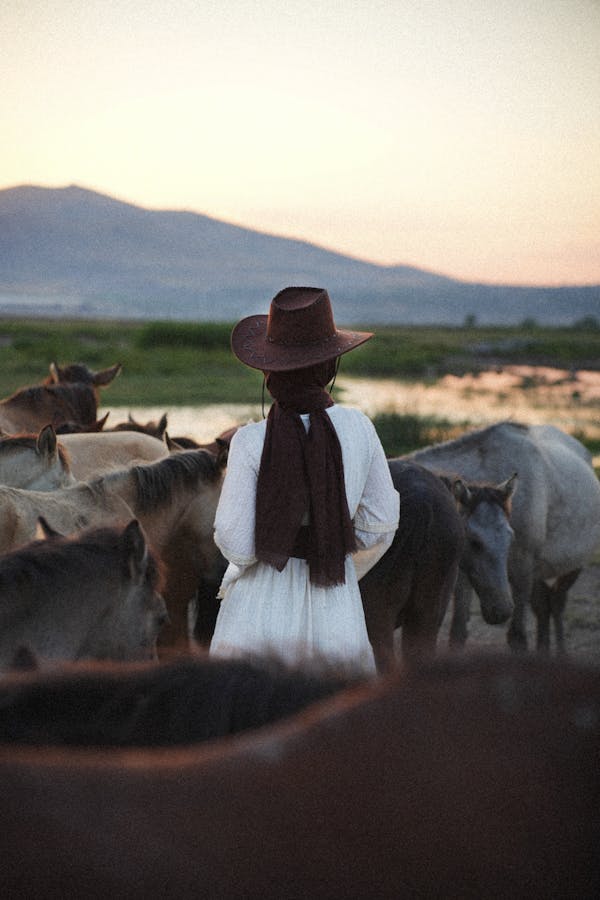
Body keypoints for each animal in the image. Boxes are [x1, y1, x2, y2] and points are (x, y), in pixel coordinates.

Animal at [406, 422, 600, 652]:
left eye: (510, 537)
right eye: (472, 541)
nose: (499, 611)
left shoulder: (523, 568)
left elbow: (517, 637)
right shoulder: (463, 572)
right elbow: (457, 634)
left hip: (572, 567)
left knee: (557, 603)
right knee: (544, 606)